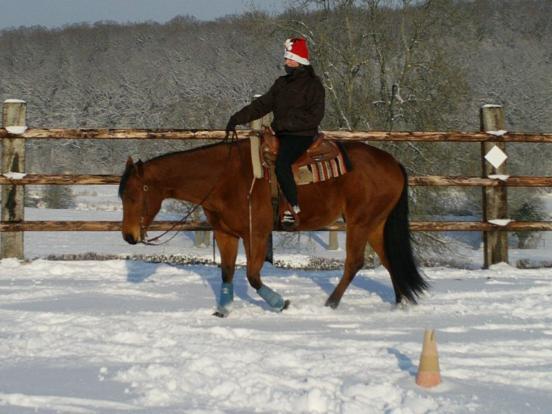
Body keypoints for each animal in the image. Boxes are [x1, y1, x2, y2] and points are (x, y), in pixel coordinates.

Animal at [117, 137, 426, 316]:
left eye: (133, 195)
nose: (129, 236)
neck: (224, 178)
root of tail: (393, 163)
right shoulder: (226, 233)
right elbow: (227, 272)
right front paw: (223, 310)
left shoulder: (257, 233)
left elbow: (253, 276)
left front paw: (279, 303)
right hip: (375, 223)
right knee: (390, 260)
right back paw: (400, 304)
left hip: (360, 222)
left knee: (354, 262)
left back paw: (331, 304)